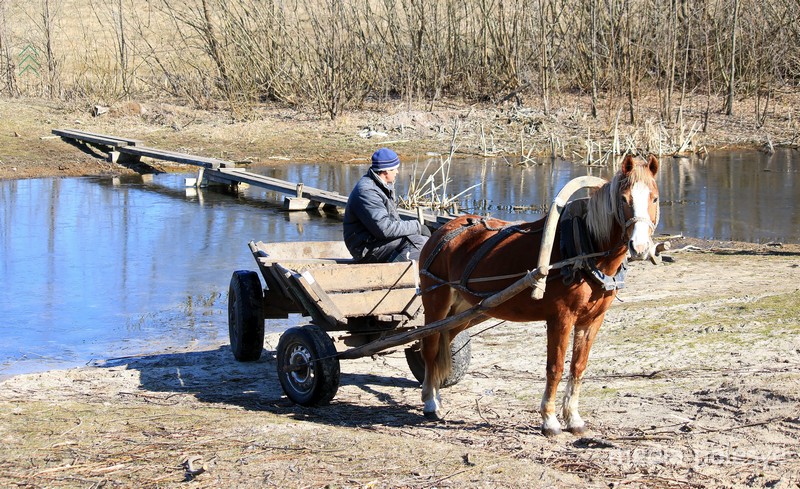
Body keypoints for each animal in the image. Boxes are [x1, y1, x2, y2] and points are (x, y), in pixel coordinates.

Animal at [416, 152, 660, 434]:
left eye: (654, 198)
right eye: (623, 198)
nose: (639, 247)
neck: (584, 249)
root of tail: (443, 230)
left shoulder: (592, 320)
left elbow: (578, 366)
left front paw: (573, 417)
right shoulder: (561, 318)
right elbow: (555, 367)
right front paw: (549, 419)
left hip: (465, 308)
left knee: (445, 341)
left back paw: (436, 395)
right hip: (436, 301)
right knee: (430, 347)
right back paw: (430, 401)